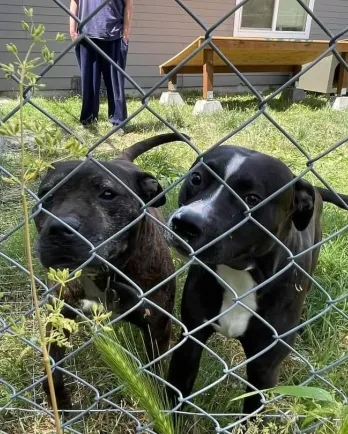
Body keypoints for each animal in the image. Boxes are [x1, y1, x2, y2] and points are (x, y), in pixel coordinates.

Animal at [166, 145, 348, 414]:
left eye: (252, 199)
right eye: (196, 178)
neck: (240, 276)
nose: (186, 224)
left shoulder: (263, 369)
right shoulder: (190, 341)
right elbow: (175, 397)